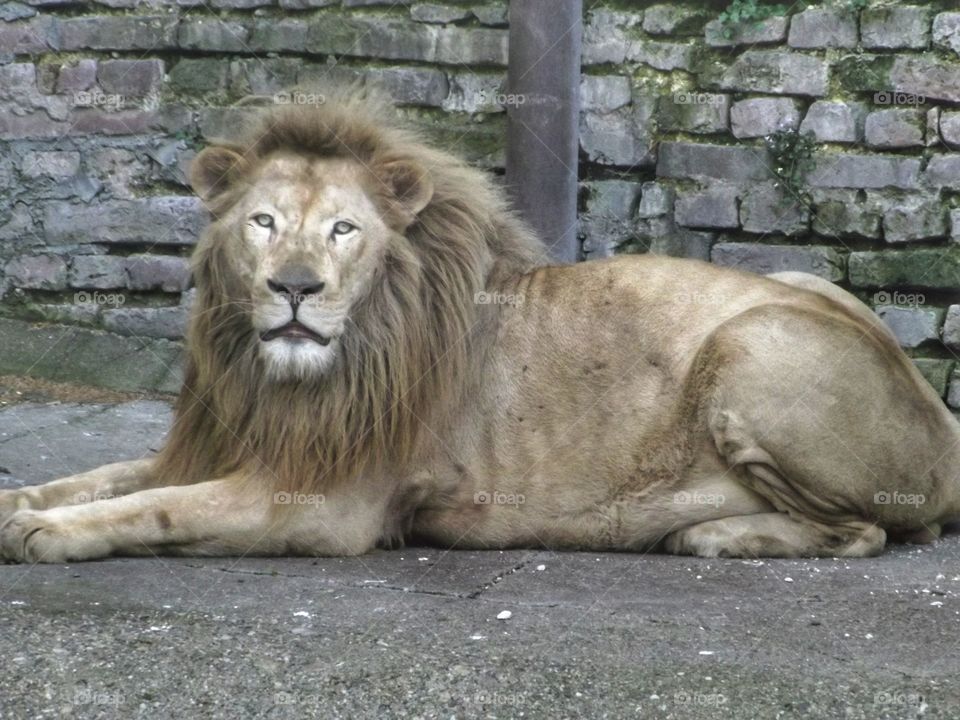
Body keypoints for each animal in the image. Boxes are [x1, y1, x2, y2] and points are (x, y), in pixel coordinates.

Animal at [1, 88, 958, 563]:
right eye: (262, 223)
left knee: (874, 532)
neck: (273, 374)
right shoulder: (227, 439)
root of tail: (942, 422)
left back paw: (711, 536)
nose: (296, 289)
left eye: (344, 230)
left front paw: (46, 536)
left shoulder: (321, 504)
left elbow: (160, 506)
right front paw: (24, 503)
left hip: (753, 341)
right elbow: (106, 475)